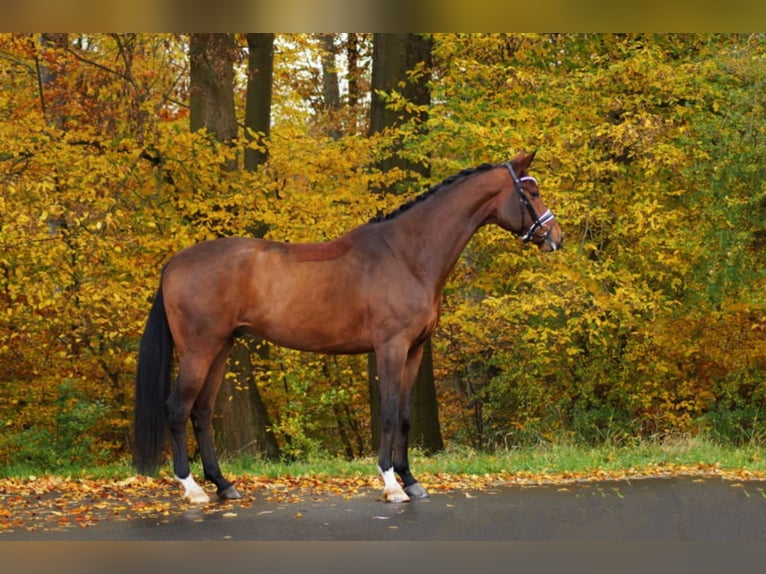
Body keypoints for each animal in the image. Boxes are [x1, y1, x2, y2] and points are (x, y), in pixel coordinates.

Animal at [132, 152, 564, 504]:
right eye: (532, 191)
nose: (555, 238)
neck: (407, 255)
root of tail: (174, 263)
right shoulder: (390, 347)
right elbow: (388, 412)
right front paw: (391, 484)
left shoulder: (415, 350)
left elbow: (404, 415)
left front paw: (411, 481)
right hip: (199, 350)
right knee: (177, 408)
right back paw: (192, 489)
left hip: (220, 349)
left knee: (201, 412)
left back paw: (223, 485)